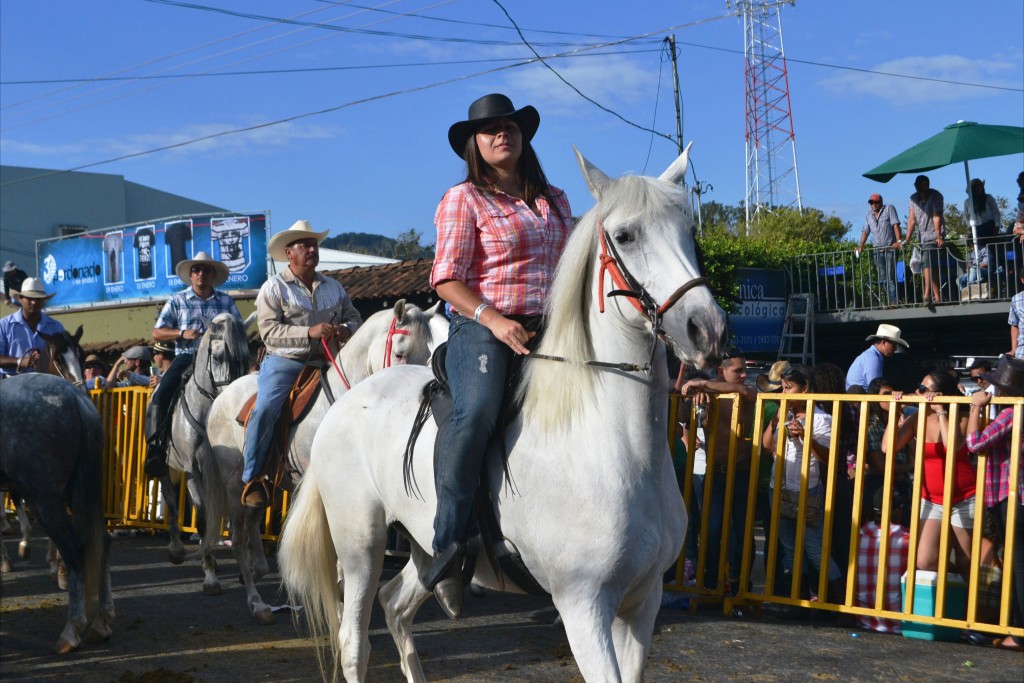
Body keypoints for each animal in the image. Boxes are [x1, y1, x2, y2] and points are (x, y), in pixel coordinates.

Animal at [0, 370, 112, 655]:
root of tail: (73, 396)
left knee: (74, 550)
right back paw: (102, 623)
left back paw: (71, 632)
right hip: (74, 490)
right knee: (103, 542)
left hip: (45, 498)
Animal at [197, 301, 446, 622]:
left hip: (262, 490)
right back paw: (256, 603)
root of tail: (222, 396)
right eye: (401, 352)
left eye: (428, 351)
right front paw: (339, 606)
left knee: (252, 523)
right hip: (233, 485)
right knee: (238, 539)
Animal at [276, 149, 733, 683]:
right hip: (360, 545)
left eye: (689, 231)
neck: (612, 447)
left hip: (424, 551)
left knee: (395, 607)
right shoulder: (582, 606)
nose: (707, 330)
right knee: (354, 641)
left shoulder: (643, 602)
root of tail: (344, 404)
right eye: (625, 236)